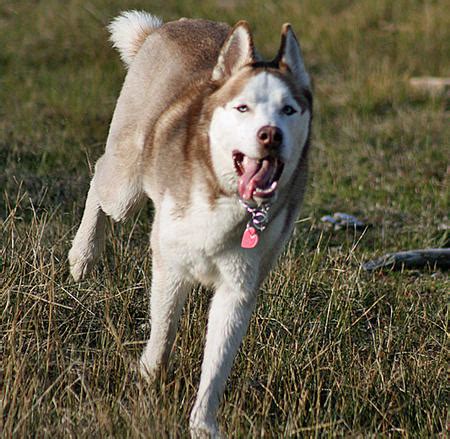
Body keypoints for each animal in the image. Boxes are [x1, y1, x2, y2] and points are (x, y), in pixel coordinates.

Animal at [68, 12, 312, 438]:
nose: (270, 136)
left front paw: (203, 424)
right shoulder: (170, 264)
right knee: (100, 178)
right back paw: (83, 256)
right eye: (243, 108)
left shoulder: (239, 288)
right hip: (126, 187)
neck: (227, 198)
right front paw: (148, 382)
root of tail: (167, 26)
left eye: (288, 110)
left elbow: (217, 365)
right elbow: (164, 332)